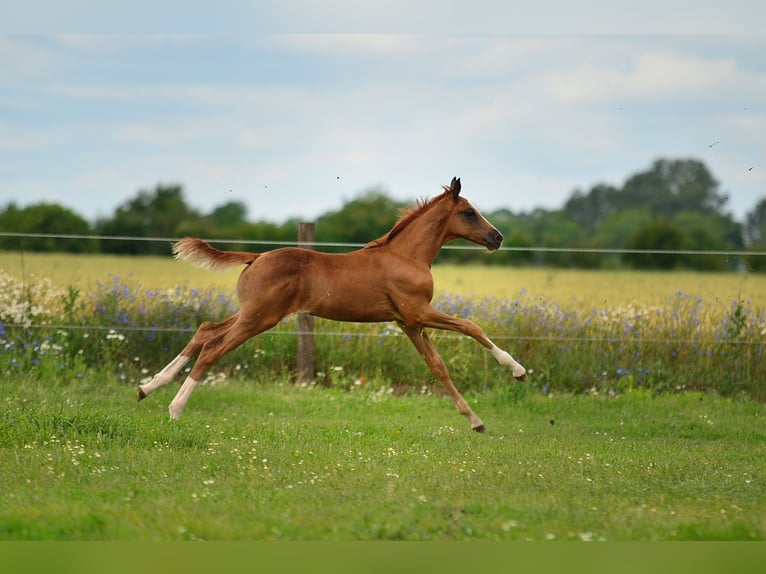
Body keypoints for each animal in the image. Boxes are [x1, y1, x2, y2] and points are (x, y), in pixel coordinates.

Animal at [138, 179, 528, 432]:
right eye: (469, 212)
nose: (497, 238)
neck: (406, 256)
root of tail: (256, 256)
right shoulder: (418, 312)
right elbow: (471, 326)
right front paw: (517, 370)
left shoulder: (408, 322)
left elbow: (438, 368)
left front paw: (475, 421)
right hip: (259, 319)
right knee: (213, 349)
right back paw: (175, 407)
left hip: (250, 313)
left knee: (205, 331)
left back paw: (148, 386)